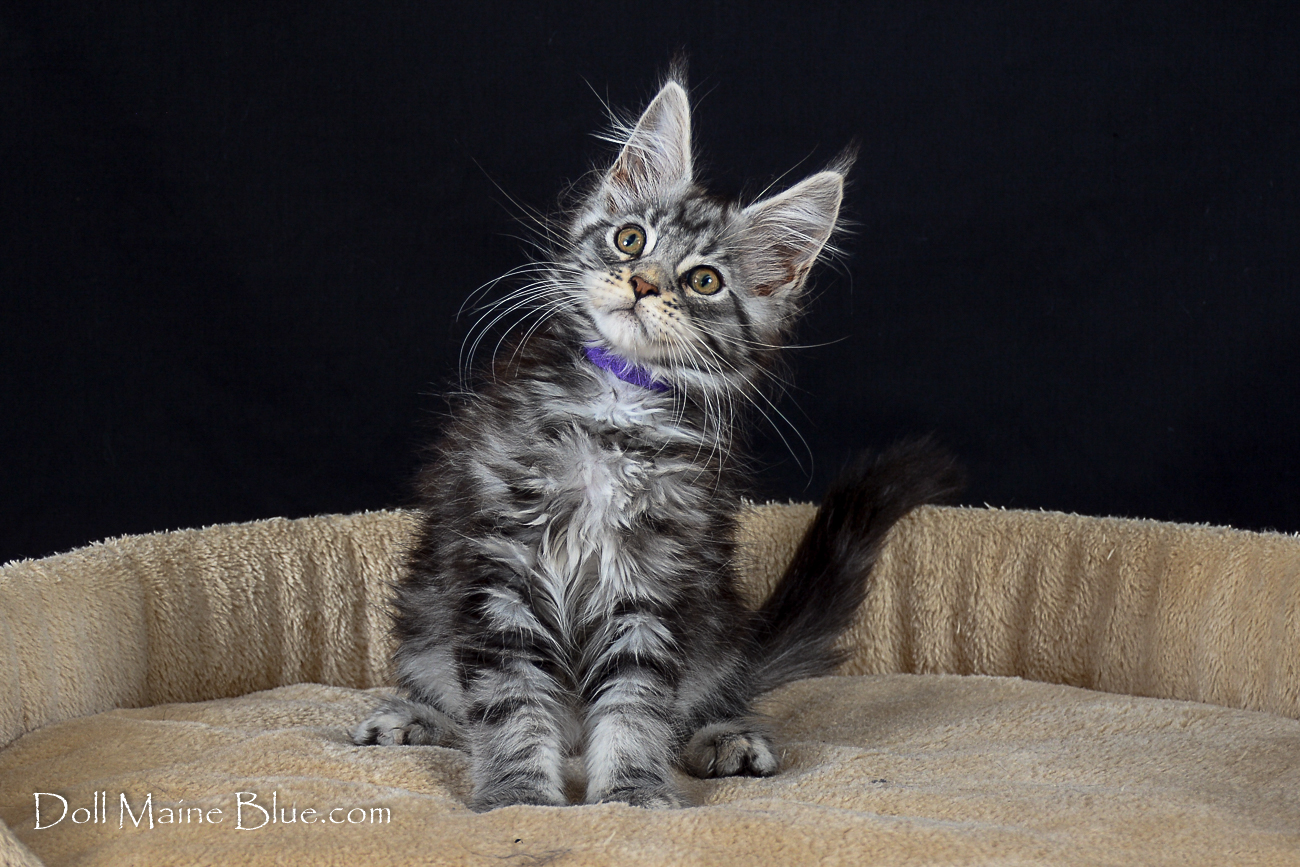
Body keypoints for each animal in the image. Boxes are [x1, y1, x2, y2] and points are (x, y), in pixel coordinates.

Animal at [353, 76, 963, 811]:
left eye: (704, 280)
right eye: (629, 238)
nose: (643, 283)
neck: (615, 404)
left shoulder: (653, 581)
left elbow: (636, 705)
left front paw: (633, 793)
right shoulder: (500, 569)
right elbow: (510, 702)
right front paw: (519, 794)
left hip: (715, 626)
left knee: (701, 703)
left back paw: (724, 738)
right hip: (425, 616)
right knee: (457, 702)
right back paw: (414, 717)